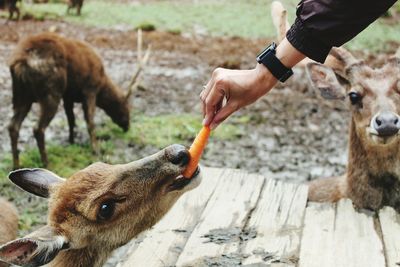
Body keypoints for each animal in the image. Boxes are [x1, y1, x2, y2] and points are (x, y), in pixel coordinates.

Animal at [9, 31, 150, 169]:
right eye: (126, 107)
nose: (127, 126)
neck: (102, 82)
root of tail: (19, 63)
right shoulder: (90, 90)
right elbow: (90, 122)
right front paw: (95, 149)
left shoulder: (68, 97)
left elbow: (71, 120)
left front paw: (72, 141)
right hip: (50, 92)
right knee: (38, 129)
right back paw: (46, 164)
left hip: (20, 95)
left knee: (13, 127)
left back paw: (16, 166)